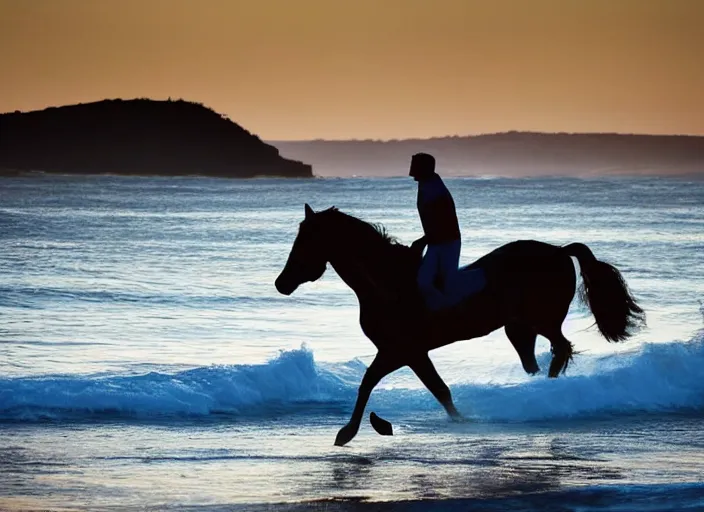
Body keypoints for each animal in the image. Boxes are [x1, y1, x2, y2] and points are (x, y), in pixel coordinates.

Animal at [274, 203, 644, 444]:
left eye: (306, 241)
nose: (281, 283)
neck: (386, 282)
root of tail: (558, 250)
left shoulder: (400, 350)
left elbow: (373, 383)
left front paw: (347, 433)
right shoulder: (409, 353)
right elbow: (437, 389)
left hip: (542, 320)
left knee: (561, 349)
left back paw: (548, 395)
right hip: (519, 329)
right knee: (539, 360)